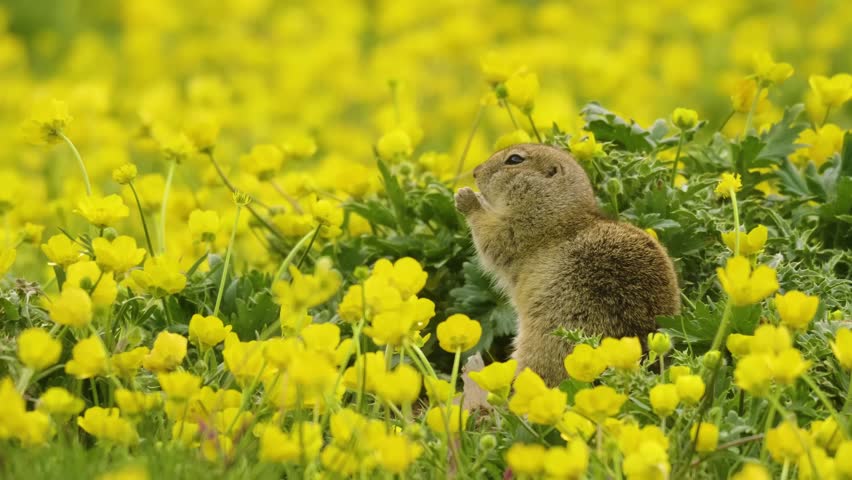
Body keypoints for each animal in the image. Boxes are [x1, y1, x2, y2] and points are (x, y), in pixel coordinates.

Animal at [455, 143, 680, 386]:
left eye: (514, 159)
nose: (475, 172)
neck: (559, 209)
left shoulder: (520, 230)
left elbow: (491, 237)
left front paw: (467, 198)